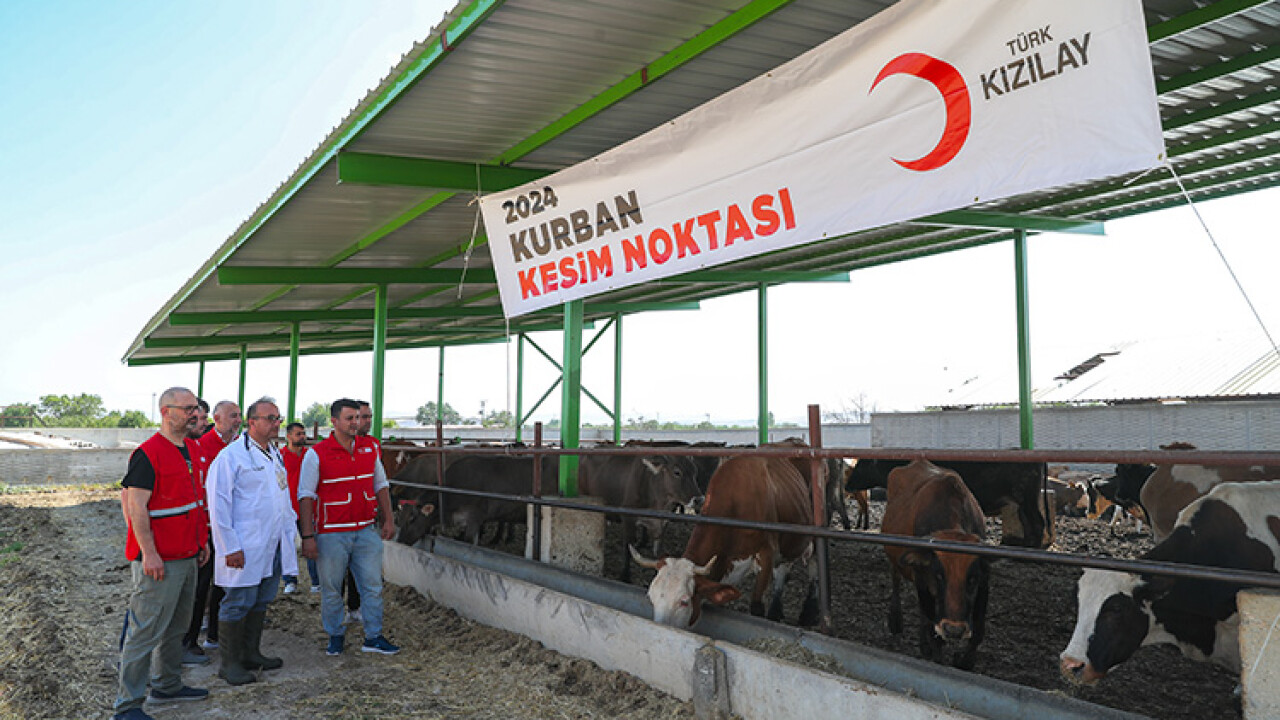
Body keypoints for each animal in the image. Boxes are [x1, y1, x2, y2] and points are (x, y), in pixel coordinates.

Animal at [577, 448, 703, 582]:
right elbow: (628, 548)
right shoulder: (628, 517)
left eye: (695, 472)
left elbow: (658, 551)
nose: (699, 499)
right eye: (677, 472)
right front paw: (625, 576)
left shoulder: (662, 523)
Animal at [629, 449, 823, 628]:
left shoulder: (766, 554)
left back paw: (808, 614)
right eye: (651, 598)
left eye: (684, 601)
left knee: (814, 570)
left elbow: (756, 607)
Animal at [846, 458, 1049, 548]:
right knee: (1028, 523)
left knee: (1038, 523)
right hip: (1022, 503)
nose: (847, 485)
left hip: (1028, 500)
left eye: (861, 465)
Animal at [882, 460, 991, 670]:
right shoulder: (921, 578)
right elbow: (935, 631)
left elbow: (978, 632)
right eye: (939, 574)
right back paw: (896, 620)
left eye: (972, 579)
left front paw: (964, 661)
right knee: (896, 579)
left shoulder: (984, 582)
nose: (954, 630)